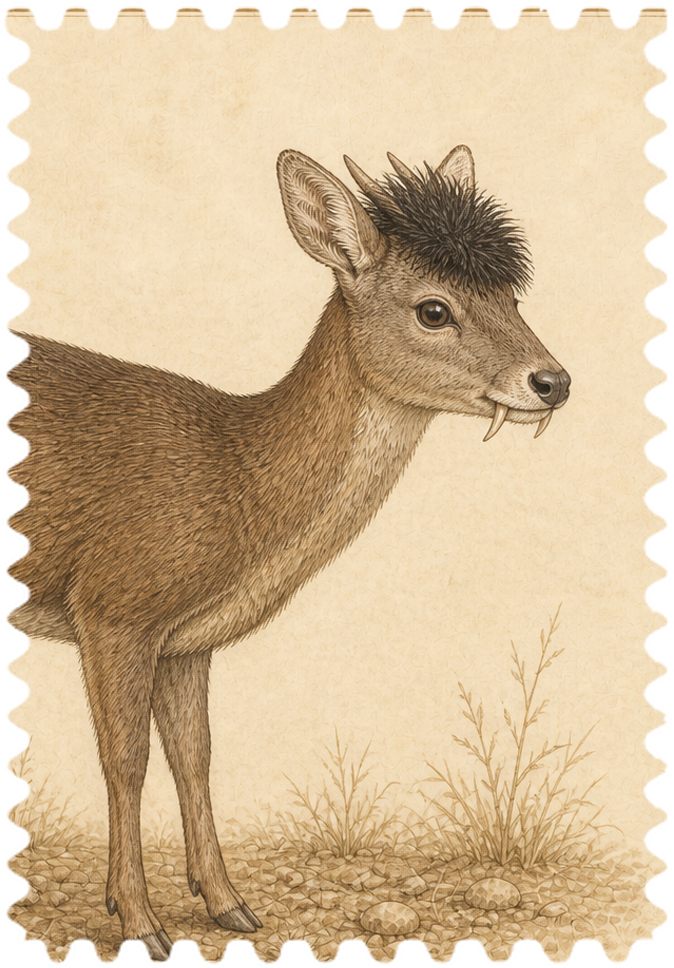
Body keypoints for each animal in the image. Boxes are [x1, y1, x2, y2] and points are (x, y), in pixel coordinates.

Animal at [0, 145, 570, 960]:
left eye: (514, 296)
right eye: (434, 308)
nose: (553, 381)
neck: (234, 481)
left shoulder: (186, 641)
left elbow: (196, 756)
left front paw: (228, 904)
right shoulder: (113, 606)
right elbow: (125, 761)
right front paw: (141, 924)